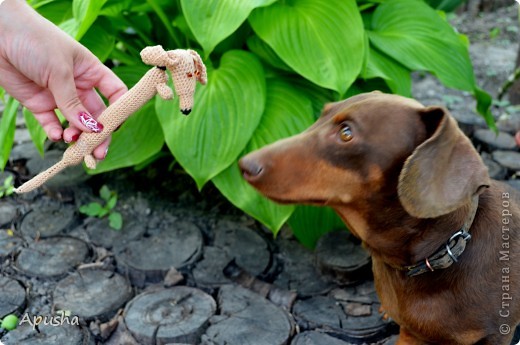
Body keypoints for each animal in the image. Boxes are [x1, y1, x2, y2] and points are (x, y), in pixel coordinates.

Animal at [240, 91, 520, 344]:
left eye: (346, 133)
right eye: (321, 115)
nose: (244, 165)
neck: (444, 251)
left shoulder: (495, 336)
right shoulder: (410, 333)